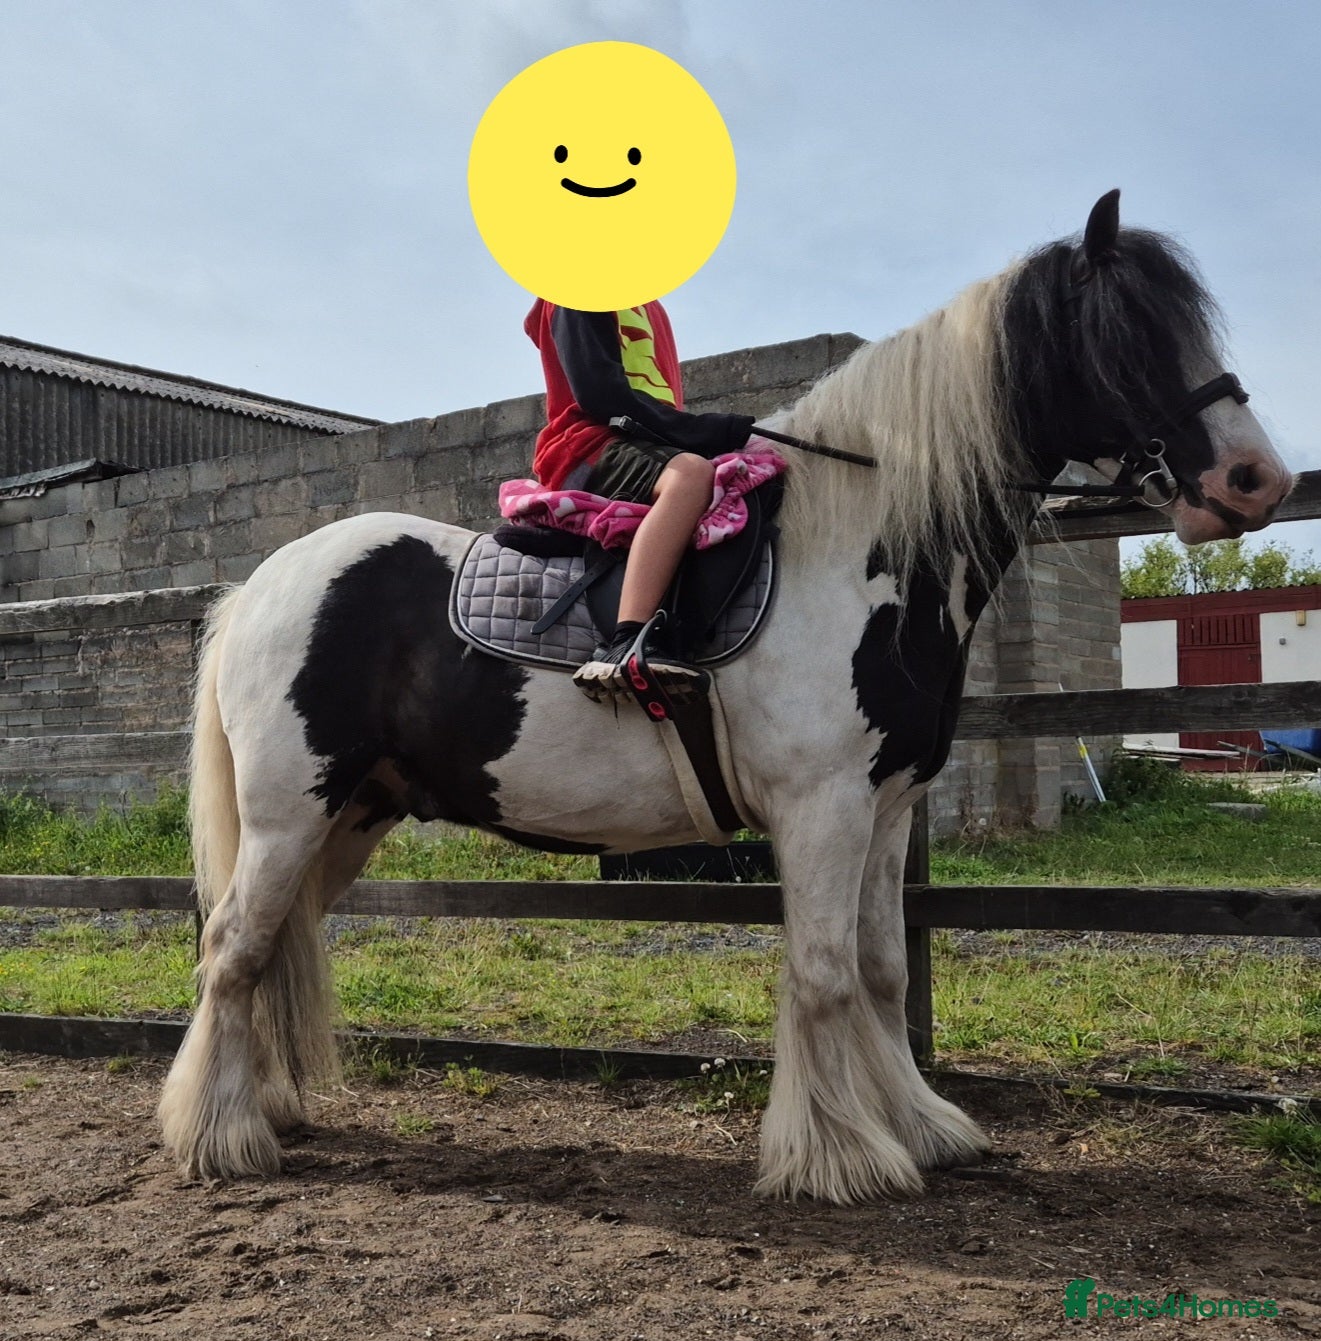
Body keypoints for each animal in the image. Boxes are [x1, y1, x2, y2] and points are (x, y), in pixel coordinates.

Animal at [158, 191, 1292, 1201]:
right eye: (1125, 332)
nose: (1256, 481)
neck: (859, 556)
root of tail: (261, 585)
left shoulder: (884, 809)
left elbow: (882, 970)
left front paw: (922, 1128)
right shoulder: (821, 809)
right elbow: (824, 973)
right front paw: (839, 1158)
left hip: (352, 814)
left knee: (275, 942)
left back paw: (268, 1109)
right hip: (289, 810)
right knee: (233, 946)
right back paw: (220, 1137)